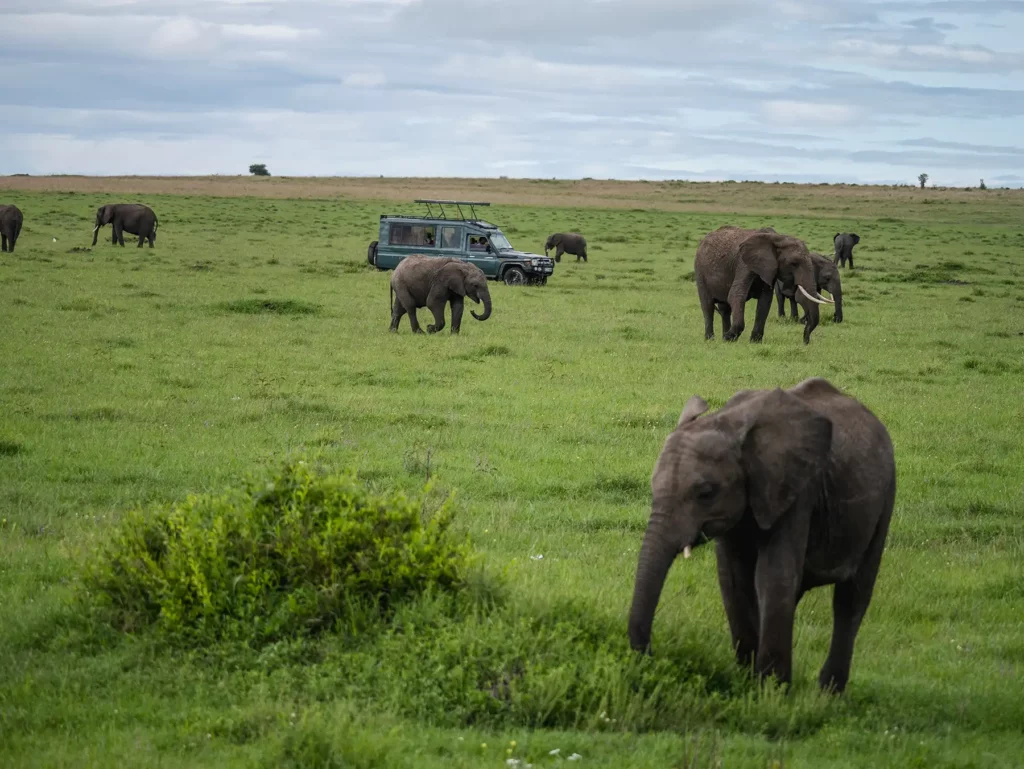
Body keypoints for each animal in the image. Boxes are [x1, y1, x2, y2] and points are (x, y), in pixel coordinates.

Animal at [628, 377, 896, 693]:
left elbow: (773, 575)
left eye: (705, 493)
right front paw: (747, 681)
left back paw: (828, 694)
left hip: (885, 498)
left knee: (851, 597)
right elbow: (733, 578)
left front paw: (772, 692)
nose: (650, 655)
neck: (726, 422)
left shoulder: (797, 490)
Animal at [694, 226, 834, 345]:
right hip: (700, 270)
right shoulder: (744, 264)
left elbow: (765, 301)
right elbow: (736, 295)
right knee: (708, 306)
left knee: (725, 309)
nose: (805, 341)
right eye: (794, 263)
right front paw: (730, 338)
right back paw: (710, 339)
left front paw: (754, 342)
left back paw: (722, 338)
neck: (777, 238)